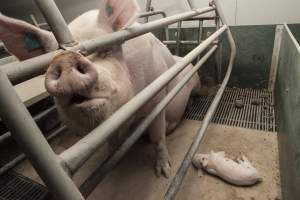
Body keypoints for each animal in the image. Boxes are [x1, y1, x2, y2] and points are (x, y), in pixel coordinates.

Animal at [0, 0, 202, 178]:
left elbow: (158, 137)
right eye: (45, 67)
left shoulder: (158, 97)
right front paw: (111, 160)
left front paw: (164, 173)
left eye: (106, 49)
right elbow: (112, 143)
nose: (64, 60)